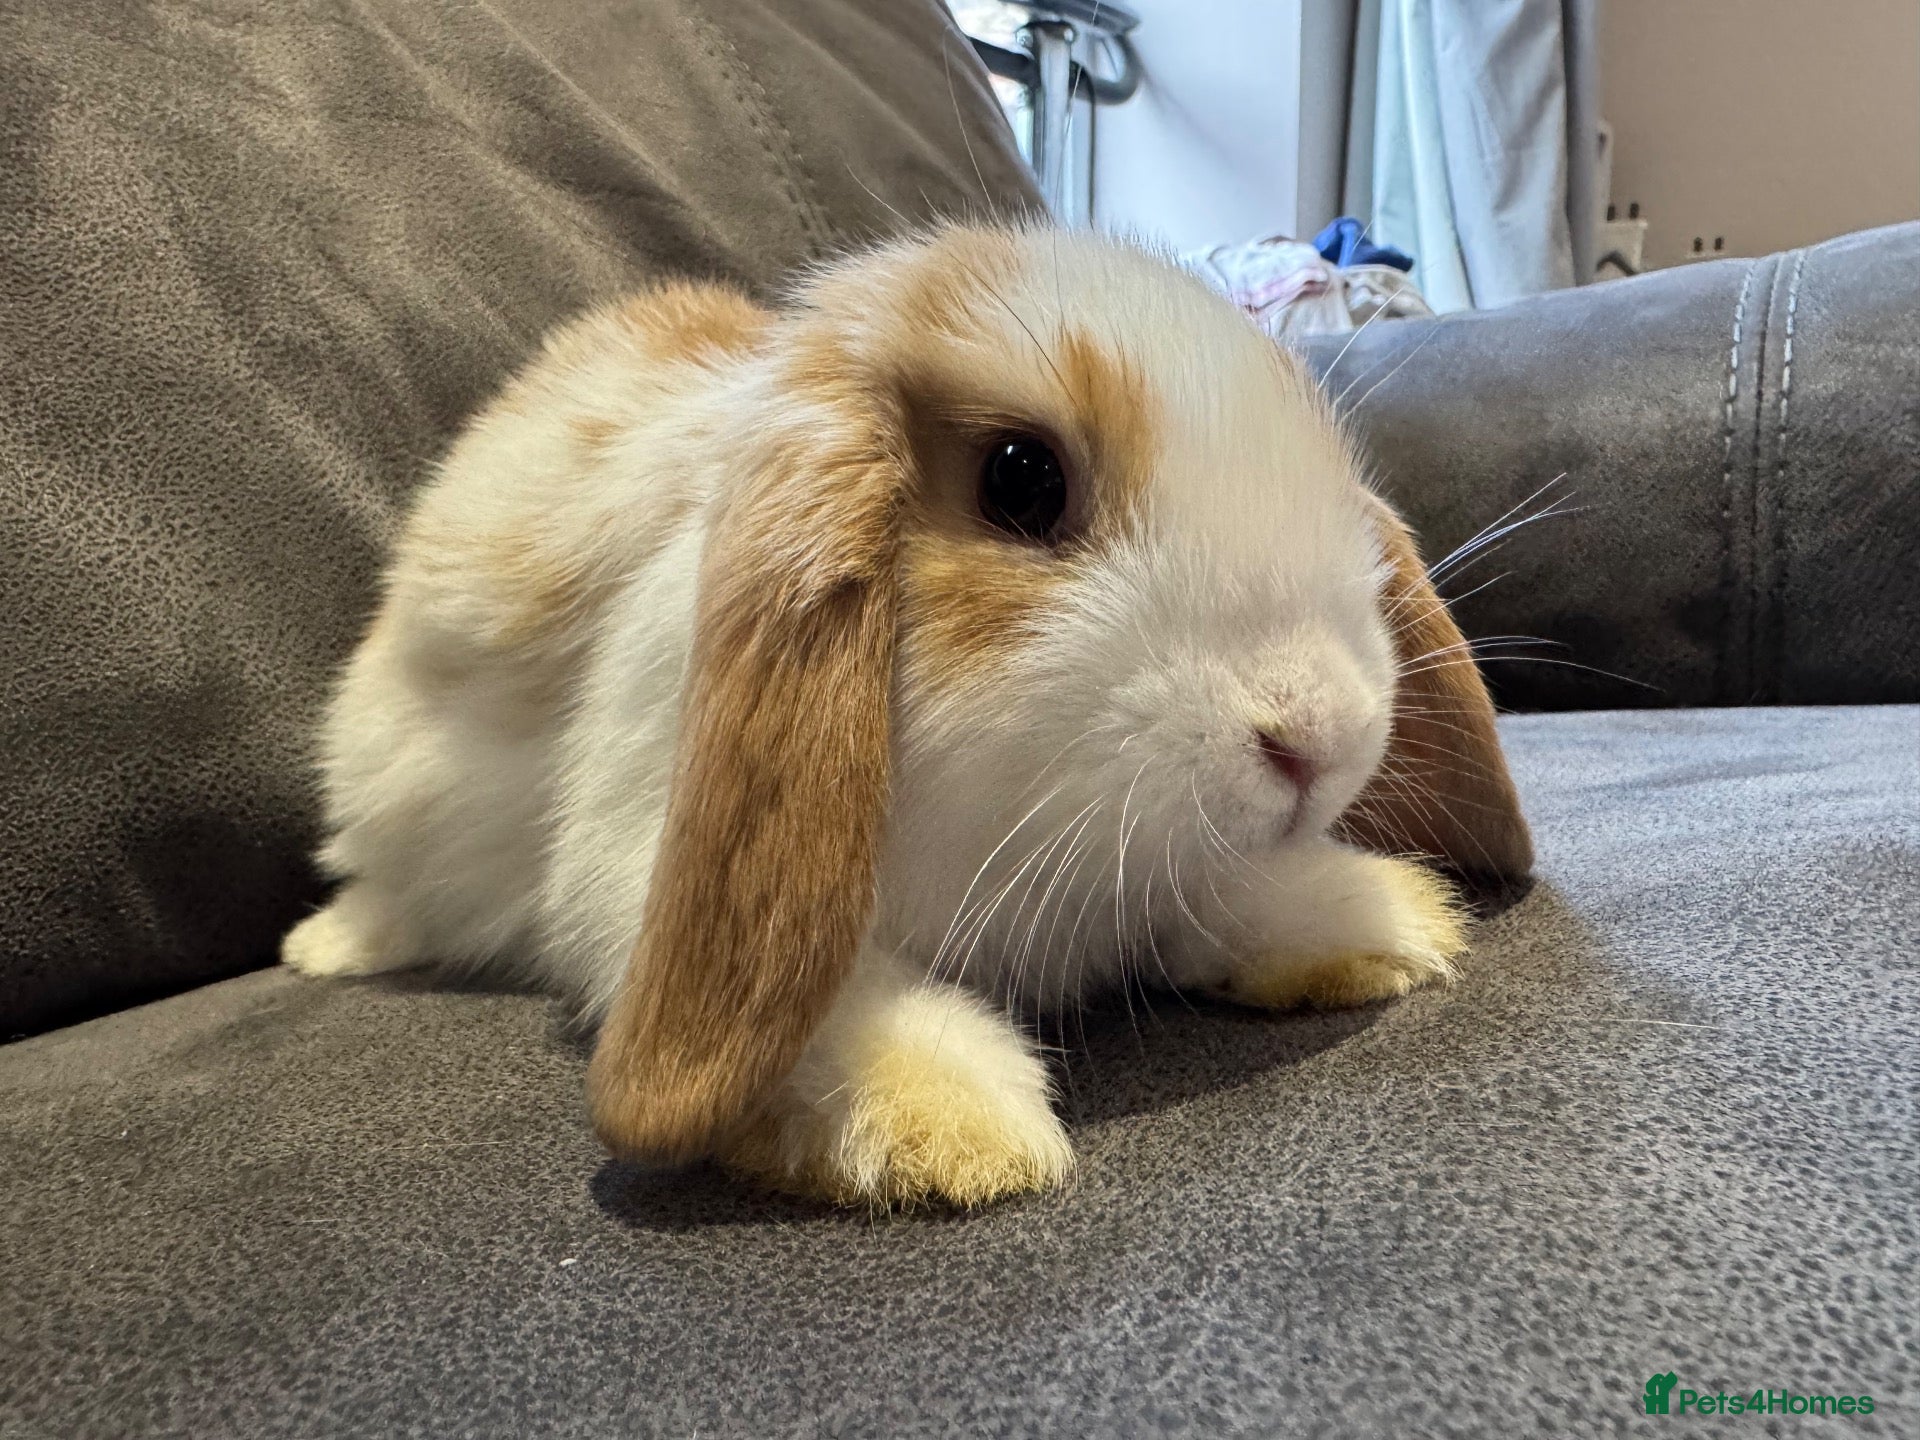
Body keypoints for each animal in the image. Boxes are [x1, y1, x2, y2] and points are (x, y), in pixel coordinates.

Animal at [282, 225, 1532, 1208]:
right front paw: (956, 1127)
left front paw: (1377, 924)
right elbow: (816, 1004)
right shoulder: (653, 878)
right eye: (1021, 479)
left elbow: (1214, 892)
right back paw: (325, 949)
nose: (1317, 737)